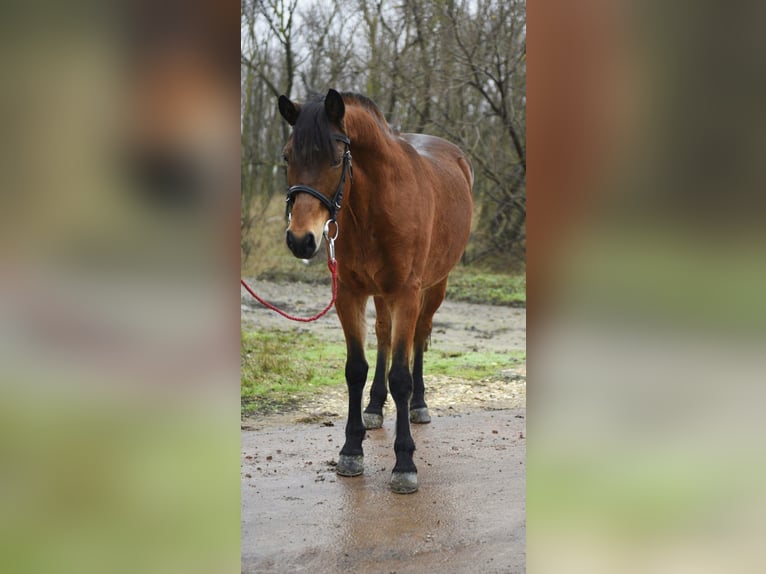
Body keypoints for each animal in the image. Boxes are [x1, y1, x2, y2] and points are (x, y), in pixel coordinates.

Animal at [277, 89, 473, 493]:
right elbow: (356, 368)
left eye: (337, 158)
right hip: (381, 295)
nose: (301, 240)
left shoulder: (407, 293)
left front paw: (404, 463)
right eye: (288, 156)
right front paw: (351, 450)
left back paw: (418, 405)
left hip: (434, 287)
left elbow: (400, 375)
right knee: (384, 335)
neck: (375, 205)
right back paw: (373, 407)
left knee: (419, 337)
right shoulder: (350, 294)